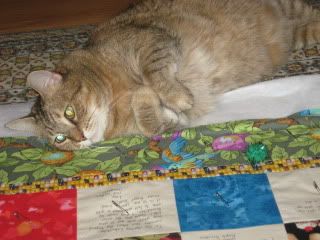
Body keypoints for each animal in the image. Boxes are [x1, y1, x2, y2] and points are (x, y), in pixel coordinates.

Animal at [6, 0, 320, 150]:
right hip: (298, 34)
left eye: (69, 113)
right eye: (59, 139)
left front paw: (173, 95)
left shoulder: (151, 42)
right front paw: (151, 103)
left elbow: (154, 73)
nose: (80, 137)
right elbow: (153, 122)